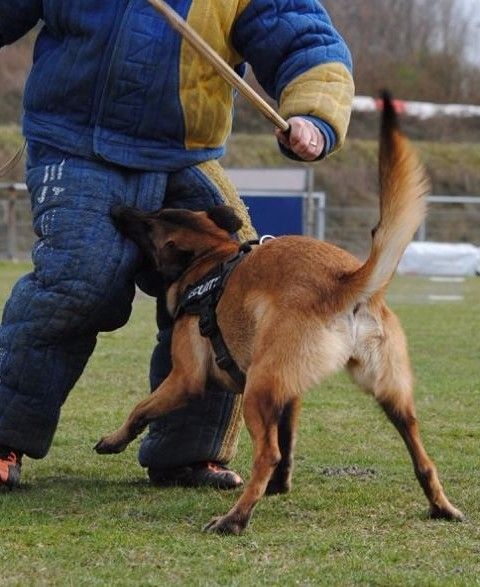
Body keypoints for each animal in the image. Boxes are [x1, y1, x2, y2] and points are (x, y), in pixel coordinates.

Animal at [94, 95, 464, 532]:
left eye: (149, 224)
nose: (119, 207)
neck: (210, 258)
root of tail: (344, 281)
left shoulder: (186, 379)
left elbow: (141, 409)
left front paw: (113, 441)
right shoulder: (289, 394)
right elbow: (288, 445)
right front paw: (279, 486)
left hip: (257, 390)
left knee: (265, 453)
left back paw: (234, 519)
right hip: (391, 396)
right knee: (422, 455)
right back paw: (441, 506)